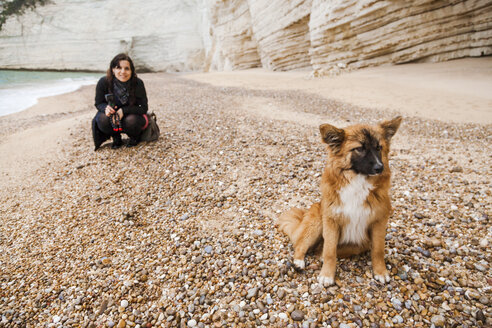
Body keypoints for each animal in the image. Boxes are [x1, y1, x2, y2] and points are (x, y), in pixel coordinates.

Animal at [278, 116, 402, 286]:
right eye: (359, 148)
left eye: (379, 147)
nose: (379, 167)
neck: (358, 182)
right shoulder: (331, 221)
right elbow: (330, 251)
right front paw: (327, 275)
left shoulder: (378, 222)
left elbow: (378, 250)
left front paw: (380, 272)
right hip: (317, 223)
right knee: (302, 245)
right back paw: (298, 261)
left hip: (358, 244)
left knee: (321, 250)